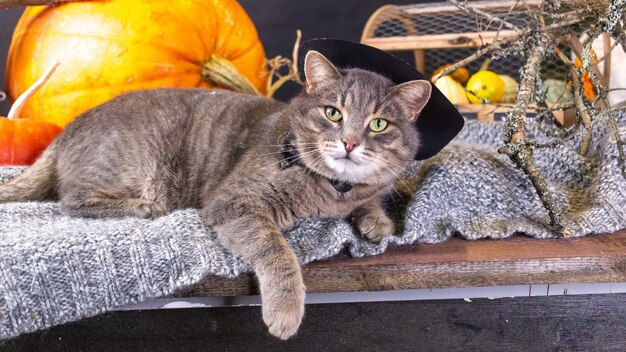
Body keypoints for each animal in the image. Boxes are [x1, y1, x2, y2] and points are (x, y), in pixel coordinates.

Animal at [0, 51, 428, 340]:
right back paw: (145, 205)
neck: (331, 192)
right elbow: (278, 252)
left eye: (378, 124)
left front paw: (377, 221)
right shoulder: (235, 204)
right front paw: (285, 310)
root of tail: (64, 133)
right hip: (136, 162)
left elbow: (370, 199)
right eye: (333, 113)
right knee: (71, 199)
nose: (350, 142)